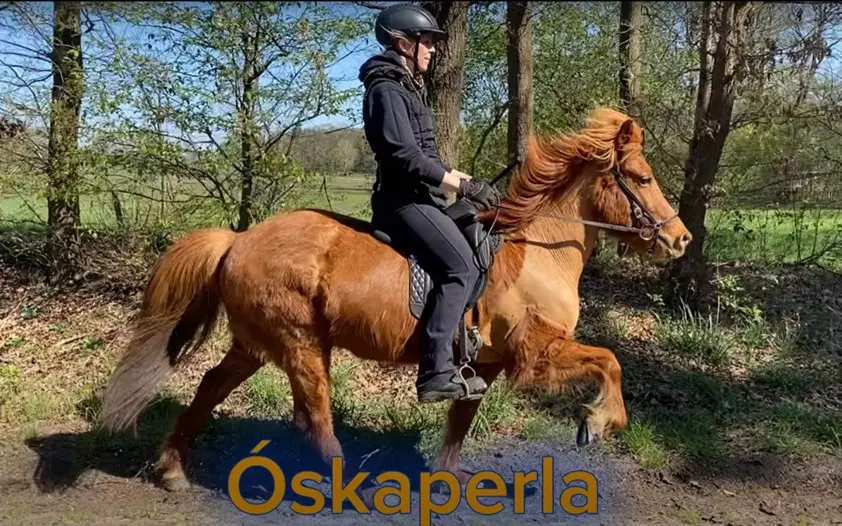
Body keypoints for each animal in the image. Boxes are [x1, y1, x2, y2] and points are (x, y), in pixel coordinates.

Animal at [99, 108, 691, 492]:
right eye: (641, 177)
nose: (681, 239)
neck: (539, 251)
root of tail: (237, 239)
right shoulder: (535, 358)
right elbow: (610, 361)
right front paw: (598, 421)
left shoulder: (487, 366)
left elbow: (461, 421)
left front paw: (447, 481)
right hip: (301, 344)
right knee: (314, 418)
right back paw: (344, 489)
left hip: (257, 344)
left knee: (210, 387)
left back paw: (172, 470)